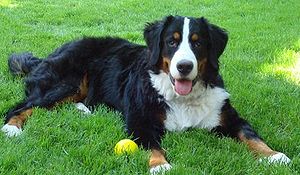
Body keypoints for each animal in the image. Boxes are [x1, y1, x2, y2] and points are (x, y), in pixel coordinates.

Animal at [1, 16, 290, 174]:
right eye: (172, 41)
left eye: (197, 43)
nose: (184, 66)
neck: (181, 98)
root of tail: (50, 53)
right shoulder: (140, 120)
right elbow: (152, 144)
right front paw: (160, 165)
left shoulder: (226, 116)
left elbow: (250, 135)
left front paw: (274, 155)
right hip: (67, 82)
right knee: (23, 106)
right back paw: (12, 128)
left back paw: (83, 110)